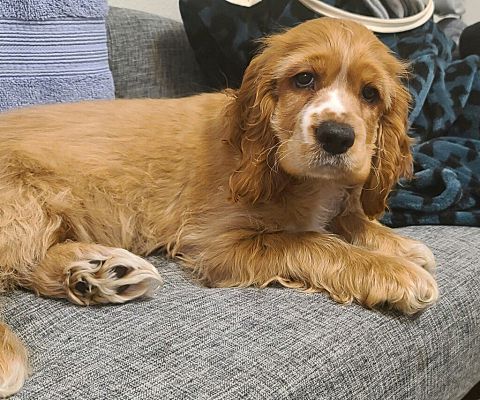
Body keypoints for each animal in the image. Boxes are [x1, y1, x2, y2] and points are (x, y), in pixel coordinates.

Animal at [0, 18, 438, 396]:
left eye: (370, 94)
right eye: (304, 79)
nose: (336, 136)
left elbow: (347, 218)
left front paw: (401, 245)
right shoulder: (219, 244)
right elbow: (311, 240)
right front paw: (397, 273)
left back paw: (97, 273)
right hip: (21, 205)